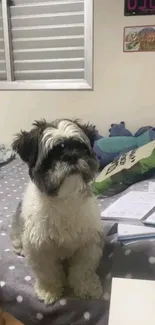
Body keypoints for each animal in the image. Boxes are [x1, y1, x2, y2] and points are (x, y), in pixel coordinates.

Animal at [11, 117, 104, 302]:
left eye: (80, 147)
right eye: (52, 154)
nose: (71, 156)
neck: (63, 199)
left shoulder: (88, 244)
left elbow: (83, 270)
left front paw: (87, 287)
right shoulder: (39, 249)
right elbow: (47, 273)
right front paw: (49, 290)